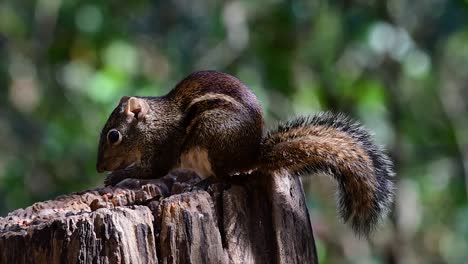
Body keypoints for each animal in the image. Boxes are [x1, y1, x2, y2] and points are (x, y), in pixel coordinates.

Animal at [96, 70, 394, 235]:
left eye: (114, 135)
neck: (154, 122)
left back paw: (204, 183)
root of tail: (251, 156)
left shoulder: (162, 146)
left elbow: (152, 170)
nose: (99, 167)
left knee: (225, 177)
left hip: (213, 136)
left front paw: (116, 177)